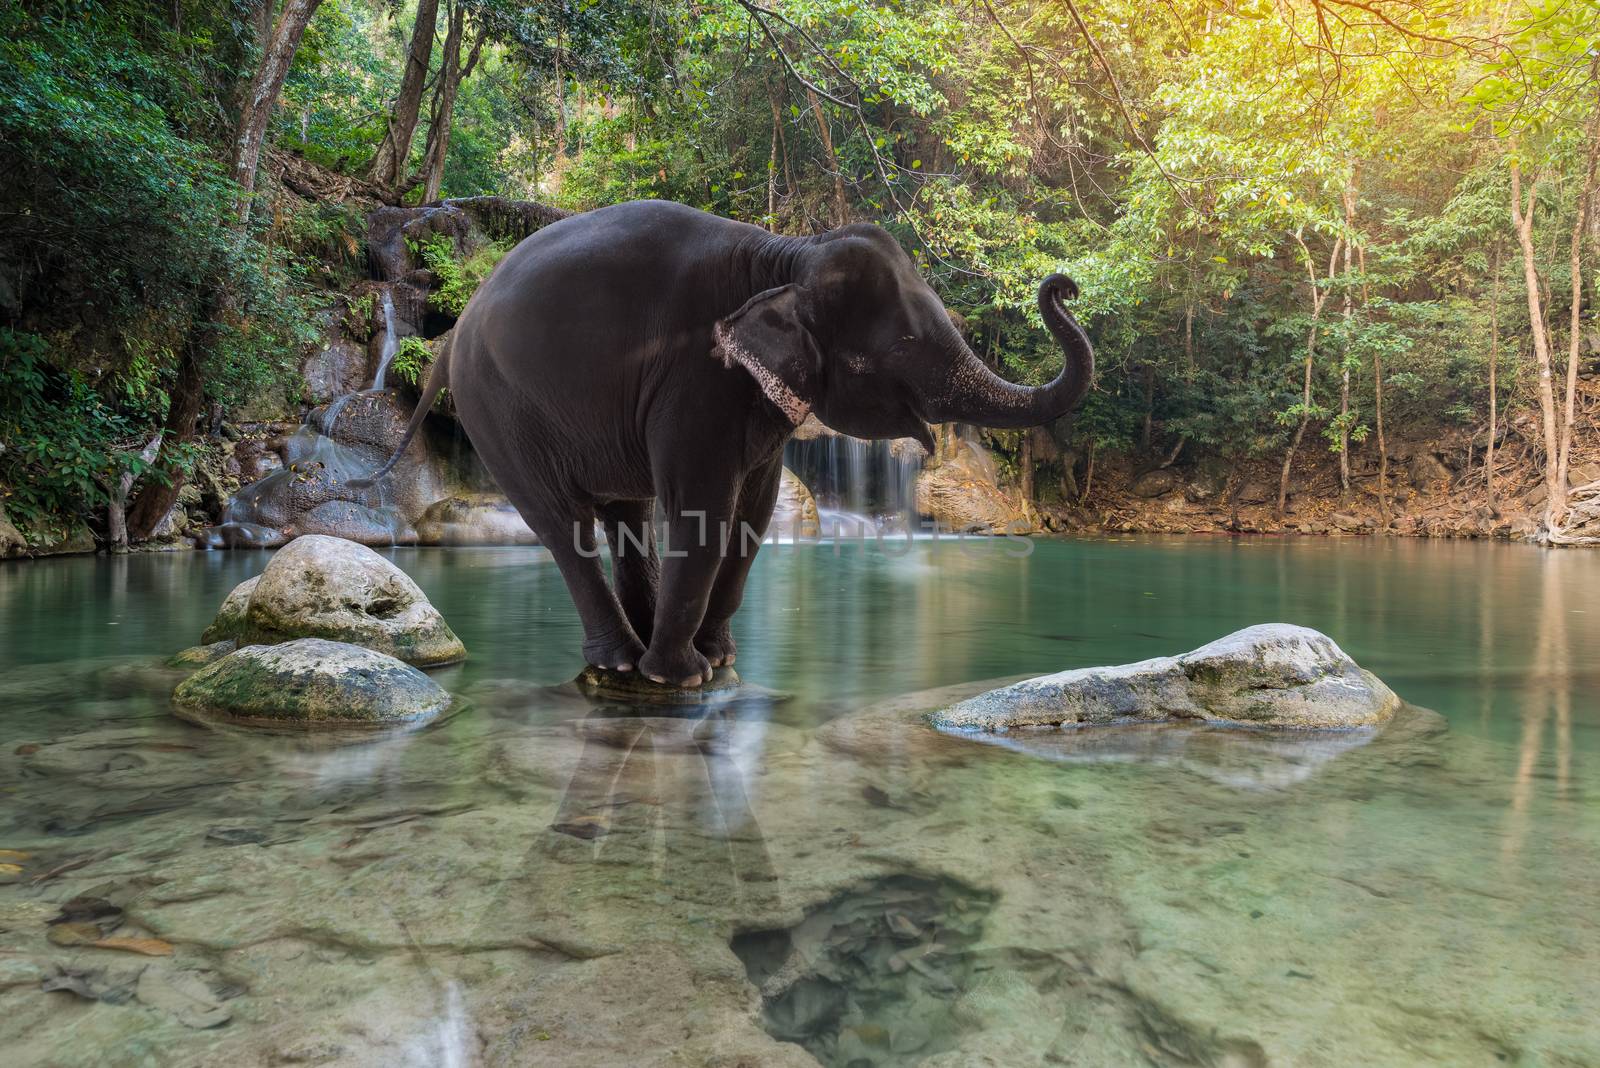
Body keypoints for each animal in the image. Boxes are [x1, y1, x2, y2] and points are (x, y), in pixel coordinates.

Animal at [358, 199, 1094, 684]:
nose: (1065, 283)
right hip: (499, 412)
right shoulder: (695, 376)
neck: (787, 253)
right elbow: (703, 507)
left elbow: (755, 511)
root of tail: (451, 336)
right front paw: (683, 675)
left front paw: (717, 659)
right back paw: (624, 662)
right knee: (562, 525)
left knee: (624, 513)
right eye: (895, 350)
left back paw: (639, 646)